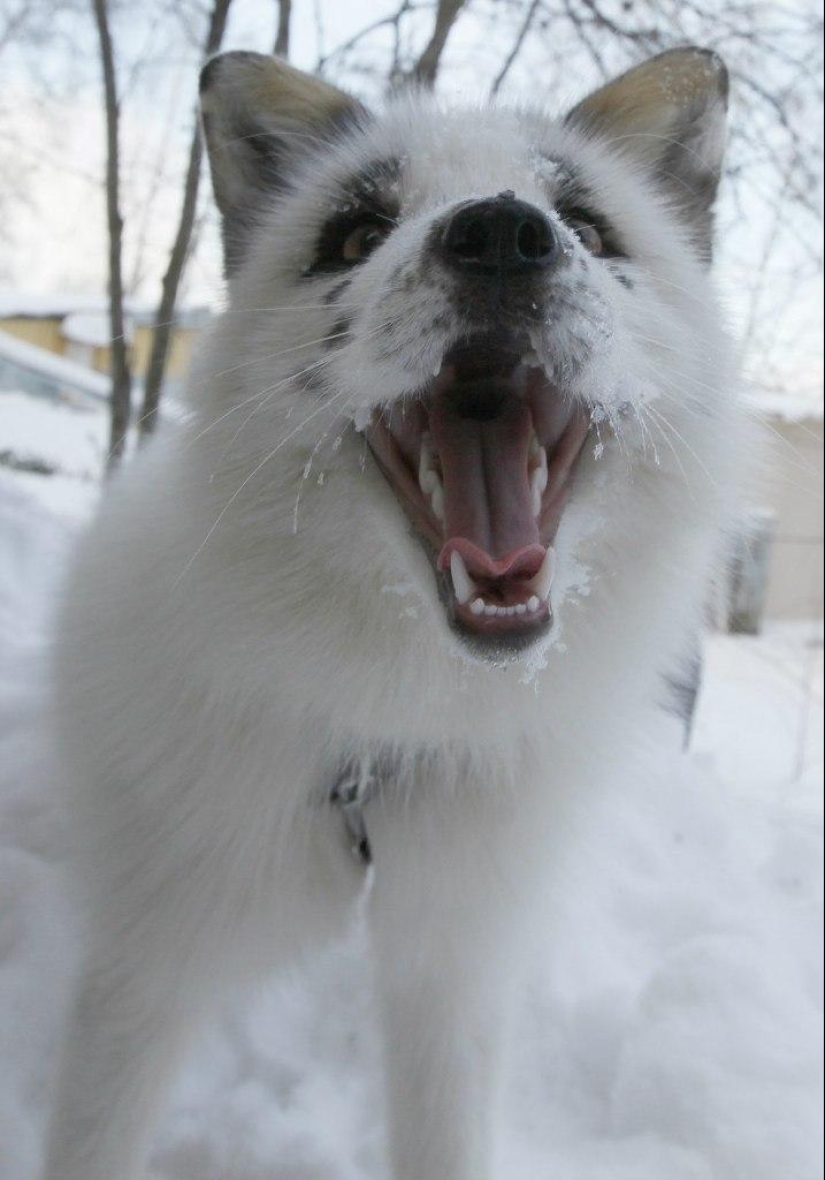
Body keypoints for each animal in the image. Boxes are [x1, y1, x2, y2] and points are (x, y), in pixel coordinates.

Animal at [43, 46, 744, 1180]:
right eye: (356, 234)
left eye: (587, 224)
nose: (501, 233)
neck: (391, 729)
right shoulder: (148, 971)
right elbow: (96, 1138)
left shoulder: (451, 970)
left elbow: (445, 1137)